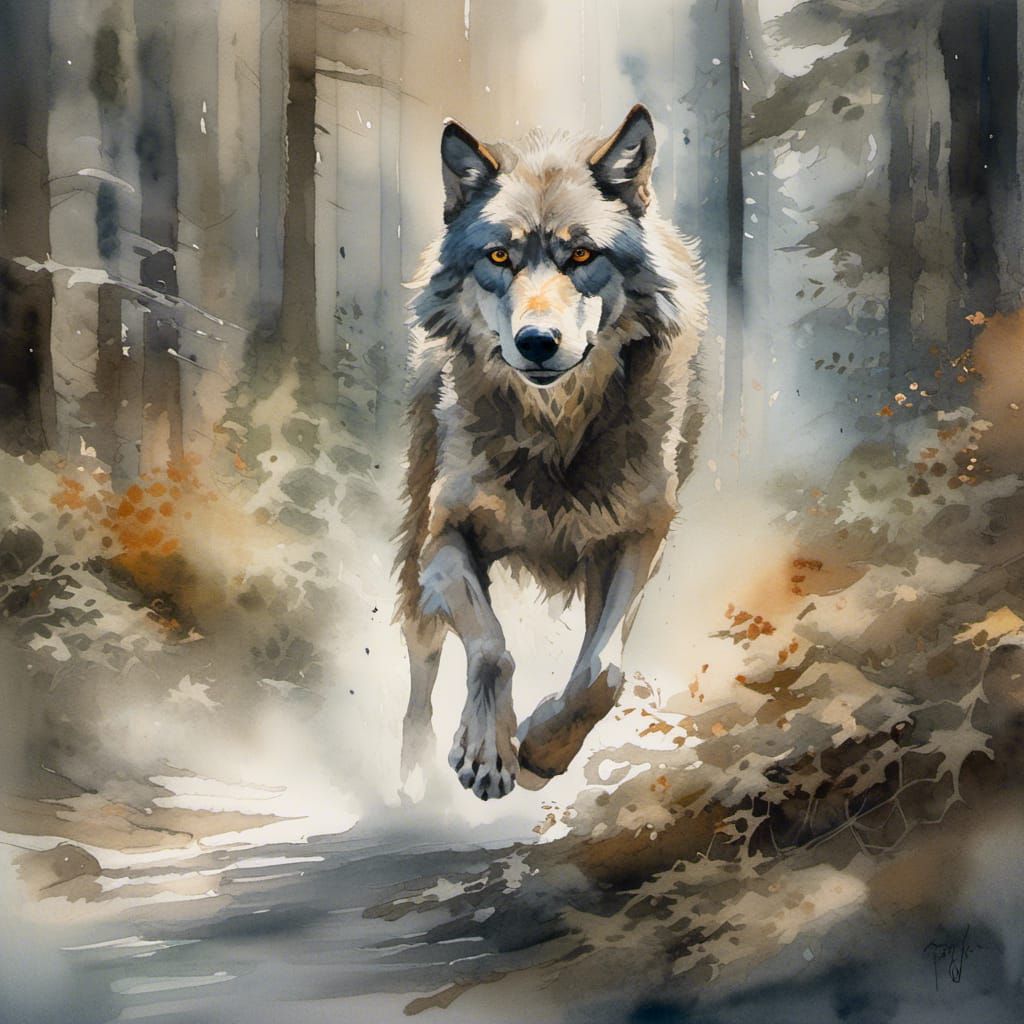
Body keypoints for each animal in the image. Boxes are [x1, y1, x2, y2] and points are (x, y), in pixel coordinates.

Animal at [395, 105, 708, 800]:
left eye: (582, 254)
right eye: (500, 256)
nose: (537, 341)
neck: (554, 434)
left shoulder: (637, 538)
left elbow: (602, 674)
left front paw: (541, 747)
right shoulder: (445, 536)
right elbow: (491, 648)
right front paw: (486, 751)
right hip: (415, 544)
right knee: (422, 660)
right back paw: (411, 780)